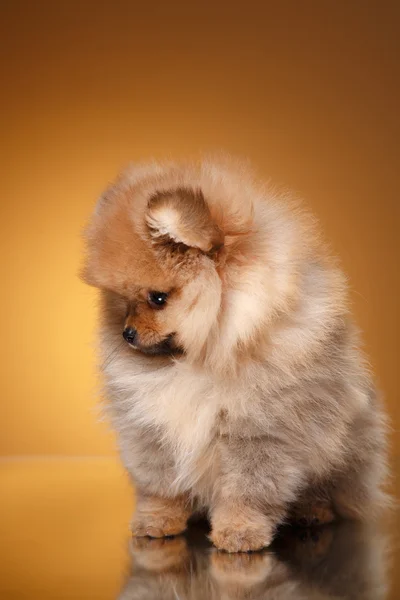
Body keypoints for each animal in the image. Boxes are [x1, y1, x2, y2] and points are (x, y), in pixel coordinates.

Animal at [81, 157, 388, 552]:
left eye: (158, 298)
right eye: (124, 300)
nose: (127, 334)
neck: (198, 357)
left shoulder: (259, 431)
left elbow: (247, 488)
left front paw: (240, 530)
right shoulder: (148, 429)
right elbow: (160, 484)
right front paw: (157, 519)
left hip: (344, 449)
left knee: (328, 488)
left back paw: (312, 510)